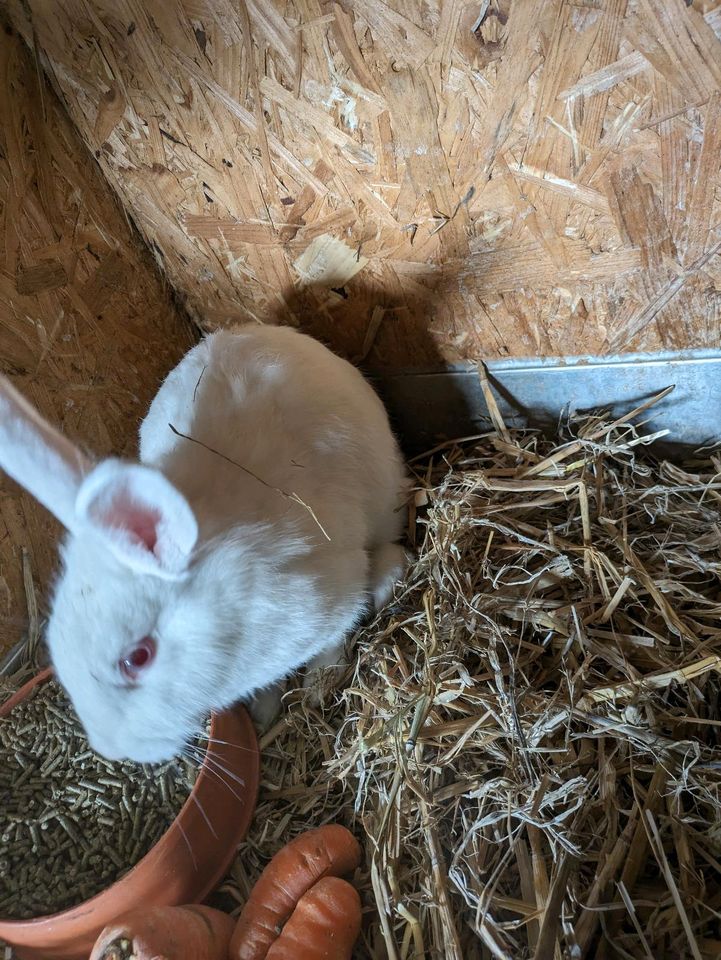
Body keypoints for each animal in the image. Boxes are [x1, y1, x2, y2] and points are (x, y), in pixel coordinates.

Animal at [0, 326, 404, 760]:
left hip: (385, 495)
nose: (111, 748)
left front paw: (317, 687)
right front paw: (264, 714)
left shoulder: (332, 601)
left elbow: (331, 642)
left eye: (136, 658)